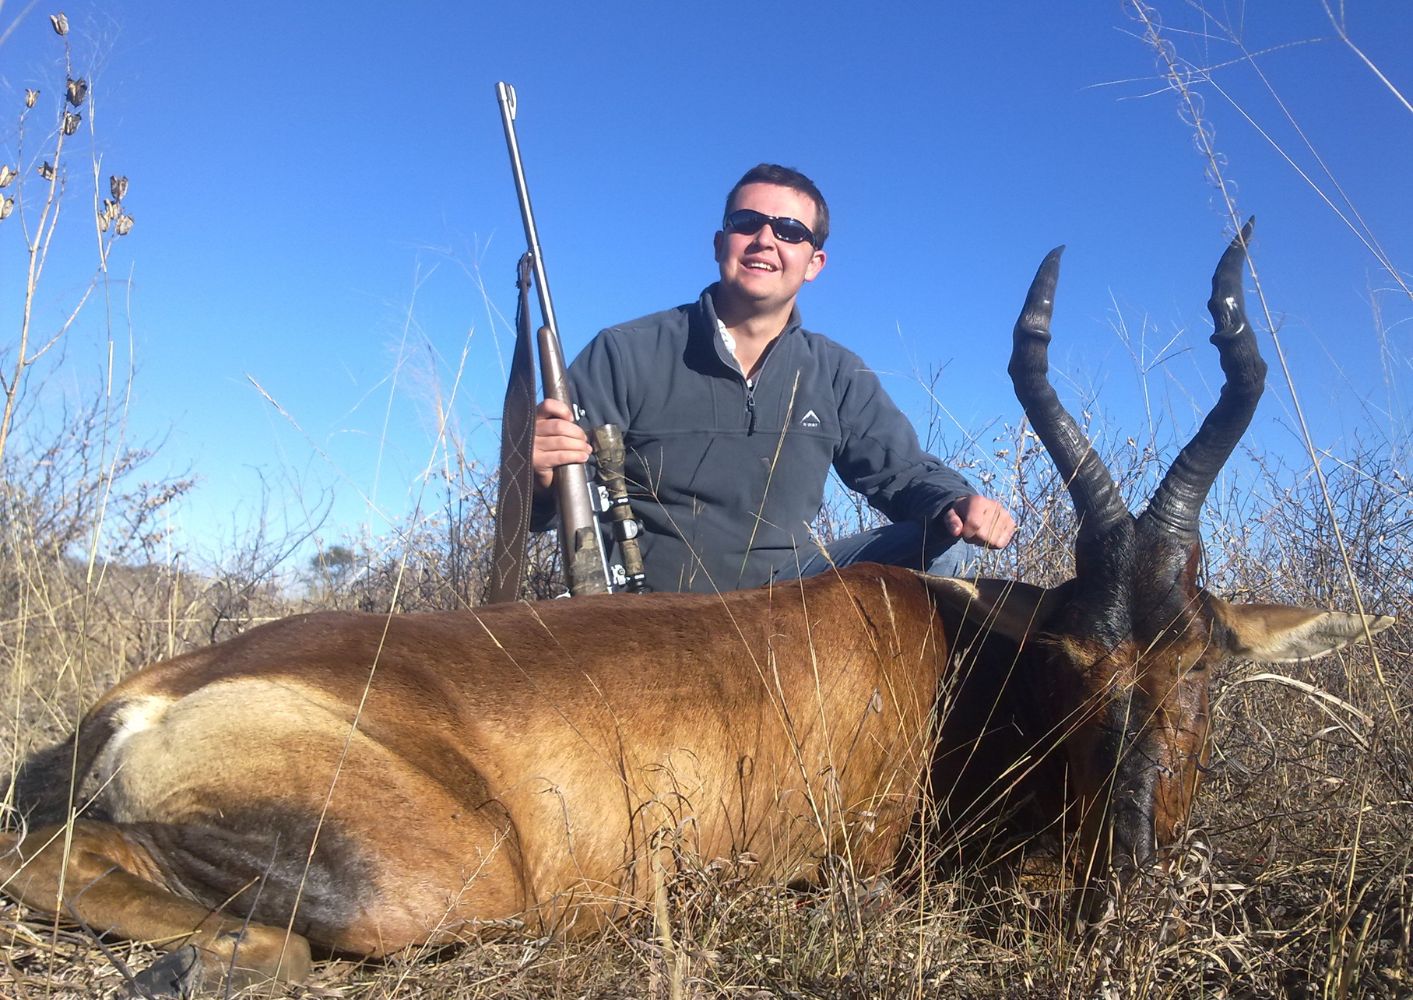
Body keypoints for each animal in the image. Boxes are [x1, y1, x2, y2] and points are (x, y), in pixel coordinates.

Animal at [1, 222, 1392, 992]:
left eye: (1201, 664)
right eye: (1073, 657)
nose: (1124, 893)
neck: (946, 653)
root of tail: (140, 701)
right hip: (440, 875)